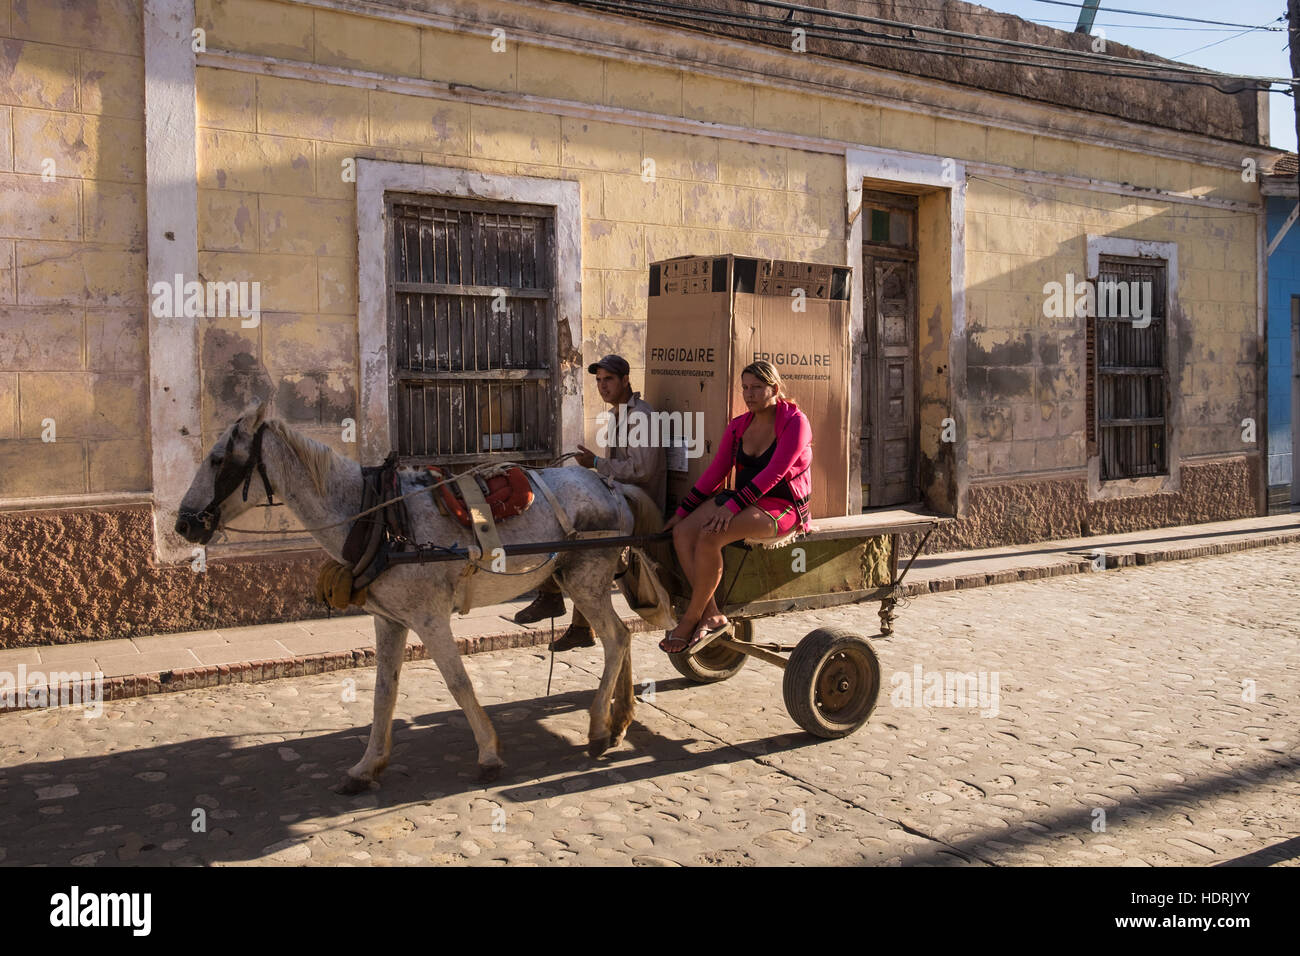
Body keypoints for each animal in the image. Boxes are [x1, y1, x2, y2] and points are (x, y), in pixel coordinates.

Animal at [172, 403, 660, 790]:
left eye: (217, 459)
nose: (183, 523)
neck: (373, 516)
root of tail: (612, 485)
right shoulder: (389, 619)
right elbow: (383, 691)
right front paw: (367, 767)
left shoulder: (429, 618)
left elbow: (458, 682)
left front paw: (488, 753)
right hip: (587, 581)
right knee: (622, 638)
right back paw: (619, 720)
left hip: (585, 579)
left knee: (616, 639)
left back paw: (598, 728)